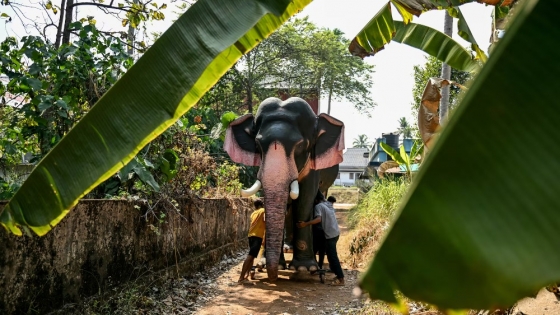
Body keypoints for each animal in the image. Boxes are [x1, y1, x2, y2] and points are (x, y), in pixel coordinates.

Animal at [224, 96, 346, 282]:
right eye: (258, 145)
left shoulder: (313, 167)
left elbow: (305, 199)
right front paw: (266, 264)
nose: (271, 276)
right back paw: (289, 247)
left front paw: (305, 268)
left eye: (300, 145)